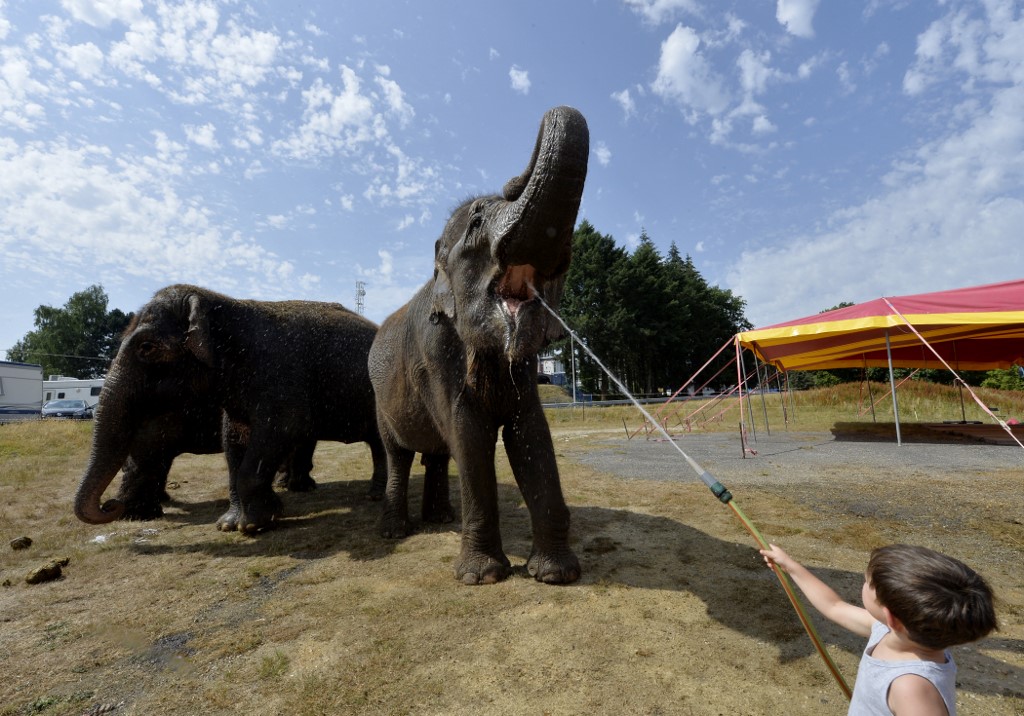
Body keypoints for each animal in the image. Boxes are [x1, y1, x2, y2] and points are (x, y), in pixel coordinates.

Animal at [74, 285, 387, 534]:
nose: (109, 505)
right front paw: (230, 524)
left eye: (146, 347)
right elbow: (234, 439)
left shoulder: (282, 378)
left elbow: (287, 429)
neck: (227, 303)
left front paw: (257, 522)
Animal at [368, 105, 589, 585]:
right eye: (474, 224)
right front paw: (482, 577)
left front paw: (555, 574)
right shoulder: (434, 354)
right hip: (379, 402)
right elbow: (469, 432)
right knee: (398, 455)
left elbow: (529, 431)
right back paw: (394, 531)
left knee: (436, 455)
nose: (511, 179)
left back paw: (441, 518)